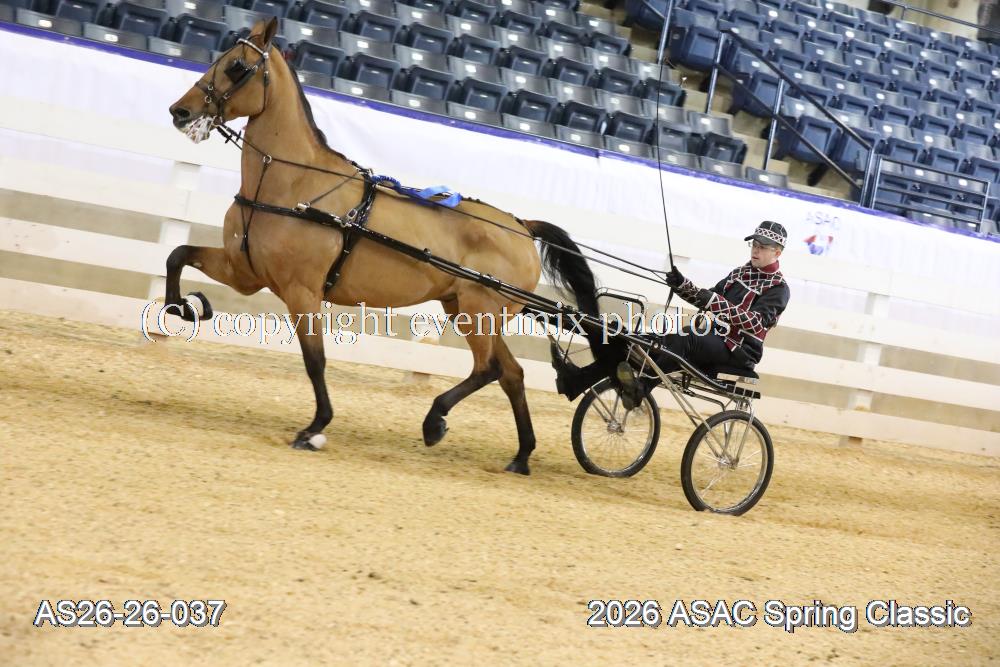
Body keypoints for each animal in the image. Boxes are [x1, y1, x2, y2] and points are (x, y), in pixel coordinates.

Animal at [165, 17, 612, 474]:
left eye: (237, 66)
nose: (180, 111)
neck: (296, 186)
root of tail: (521, 226)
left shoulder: (301, 291)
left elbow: (315, 360)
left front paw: (315, 428)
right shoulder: (245, 272)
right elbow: (177, 255)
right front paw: (184, 307)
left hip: (478, 311)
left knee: (487, 369)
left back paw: (435, 421)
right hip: (469, 310)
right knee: (511, 374)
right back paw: (520, 456)